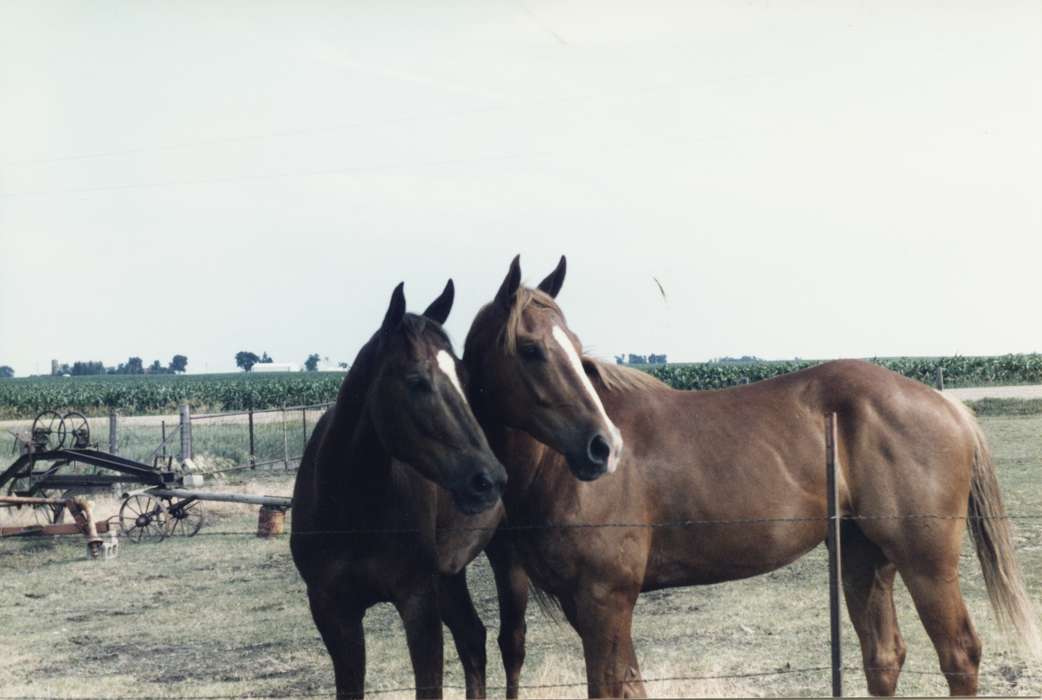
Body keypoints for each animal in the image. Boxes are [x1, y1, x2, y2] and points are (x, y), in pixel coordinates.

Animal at [289, 281, 508, 695]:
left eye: (463, 377)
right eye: (417, 381)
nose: (489, 480)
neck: (352, 507)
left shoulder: (418, 603)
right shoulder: (332, 611)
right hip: (449, 576)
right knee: (473, 639)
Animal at [464, 254, 1042, 695]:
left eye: (573, 345)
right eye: (530, 349)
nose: (602, 448)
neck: (551, 468)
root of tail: (950, 406)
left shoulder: (606, 600)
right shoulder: (589, 606)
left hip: (925, 561)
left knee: (959, 655)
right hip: (863, 554)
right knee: (884, 655)